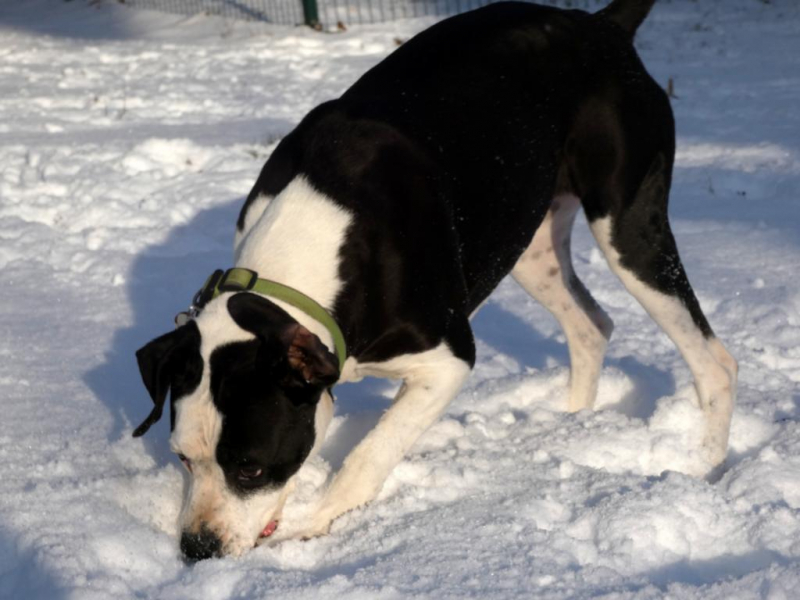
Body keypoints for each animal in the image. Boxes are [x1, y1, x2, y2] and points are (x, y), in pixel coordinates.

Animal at [132, 0, 737, 560]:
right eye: (182, 457)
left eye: (251, 469)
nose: (197, 549)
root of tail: (600, 25)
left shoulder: (447, 361)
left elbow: (369, 454)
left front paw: (317, 527)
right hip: (529, 241)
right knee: (591, 324)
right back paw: (572, 425)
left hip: (628, 230)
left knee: (713, 360)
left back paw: (703, 466)